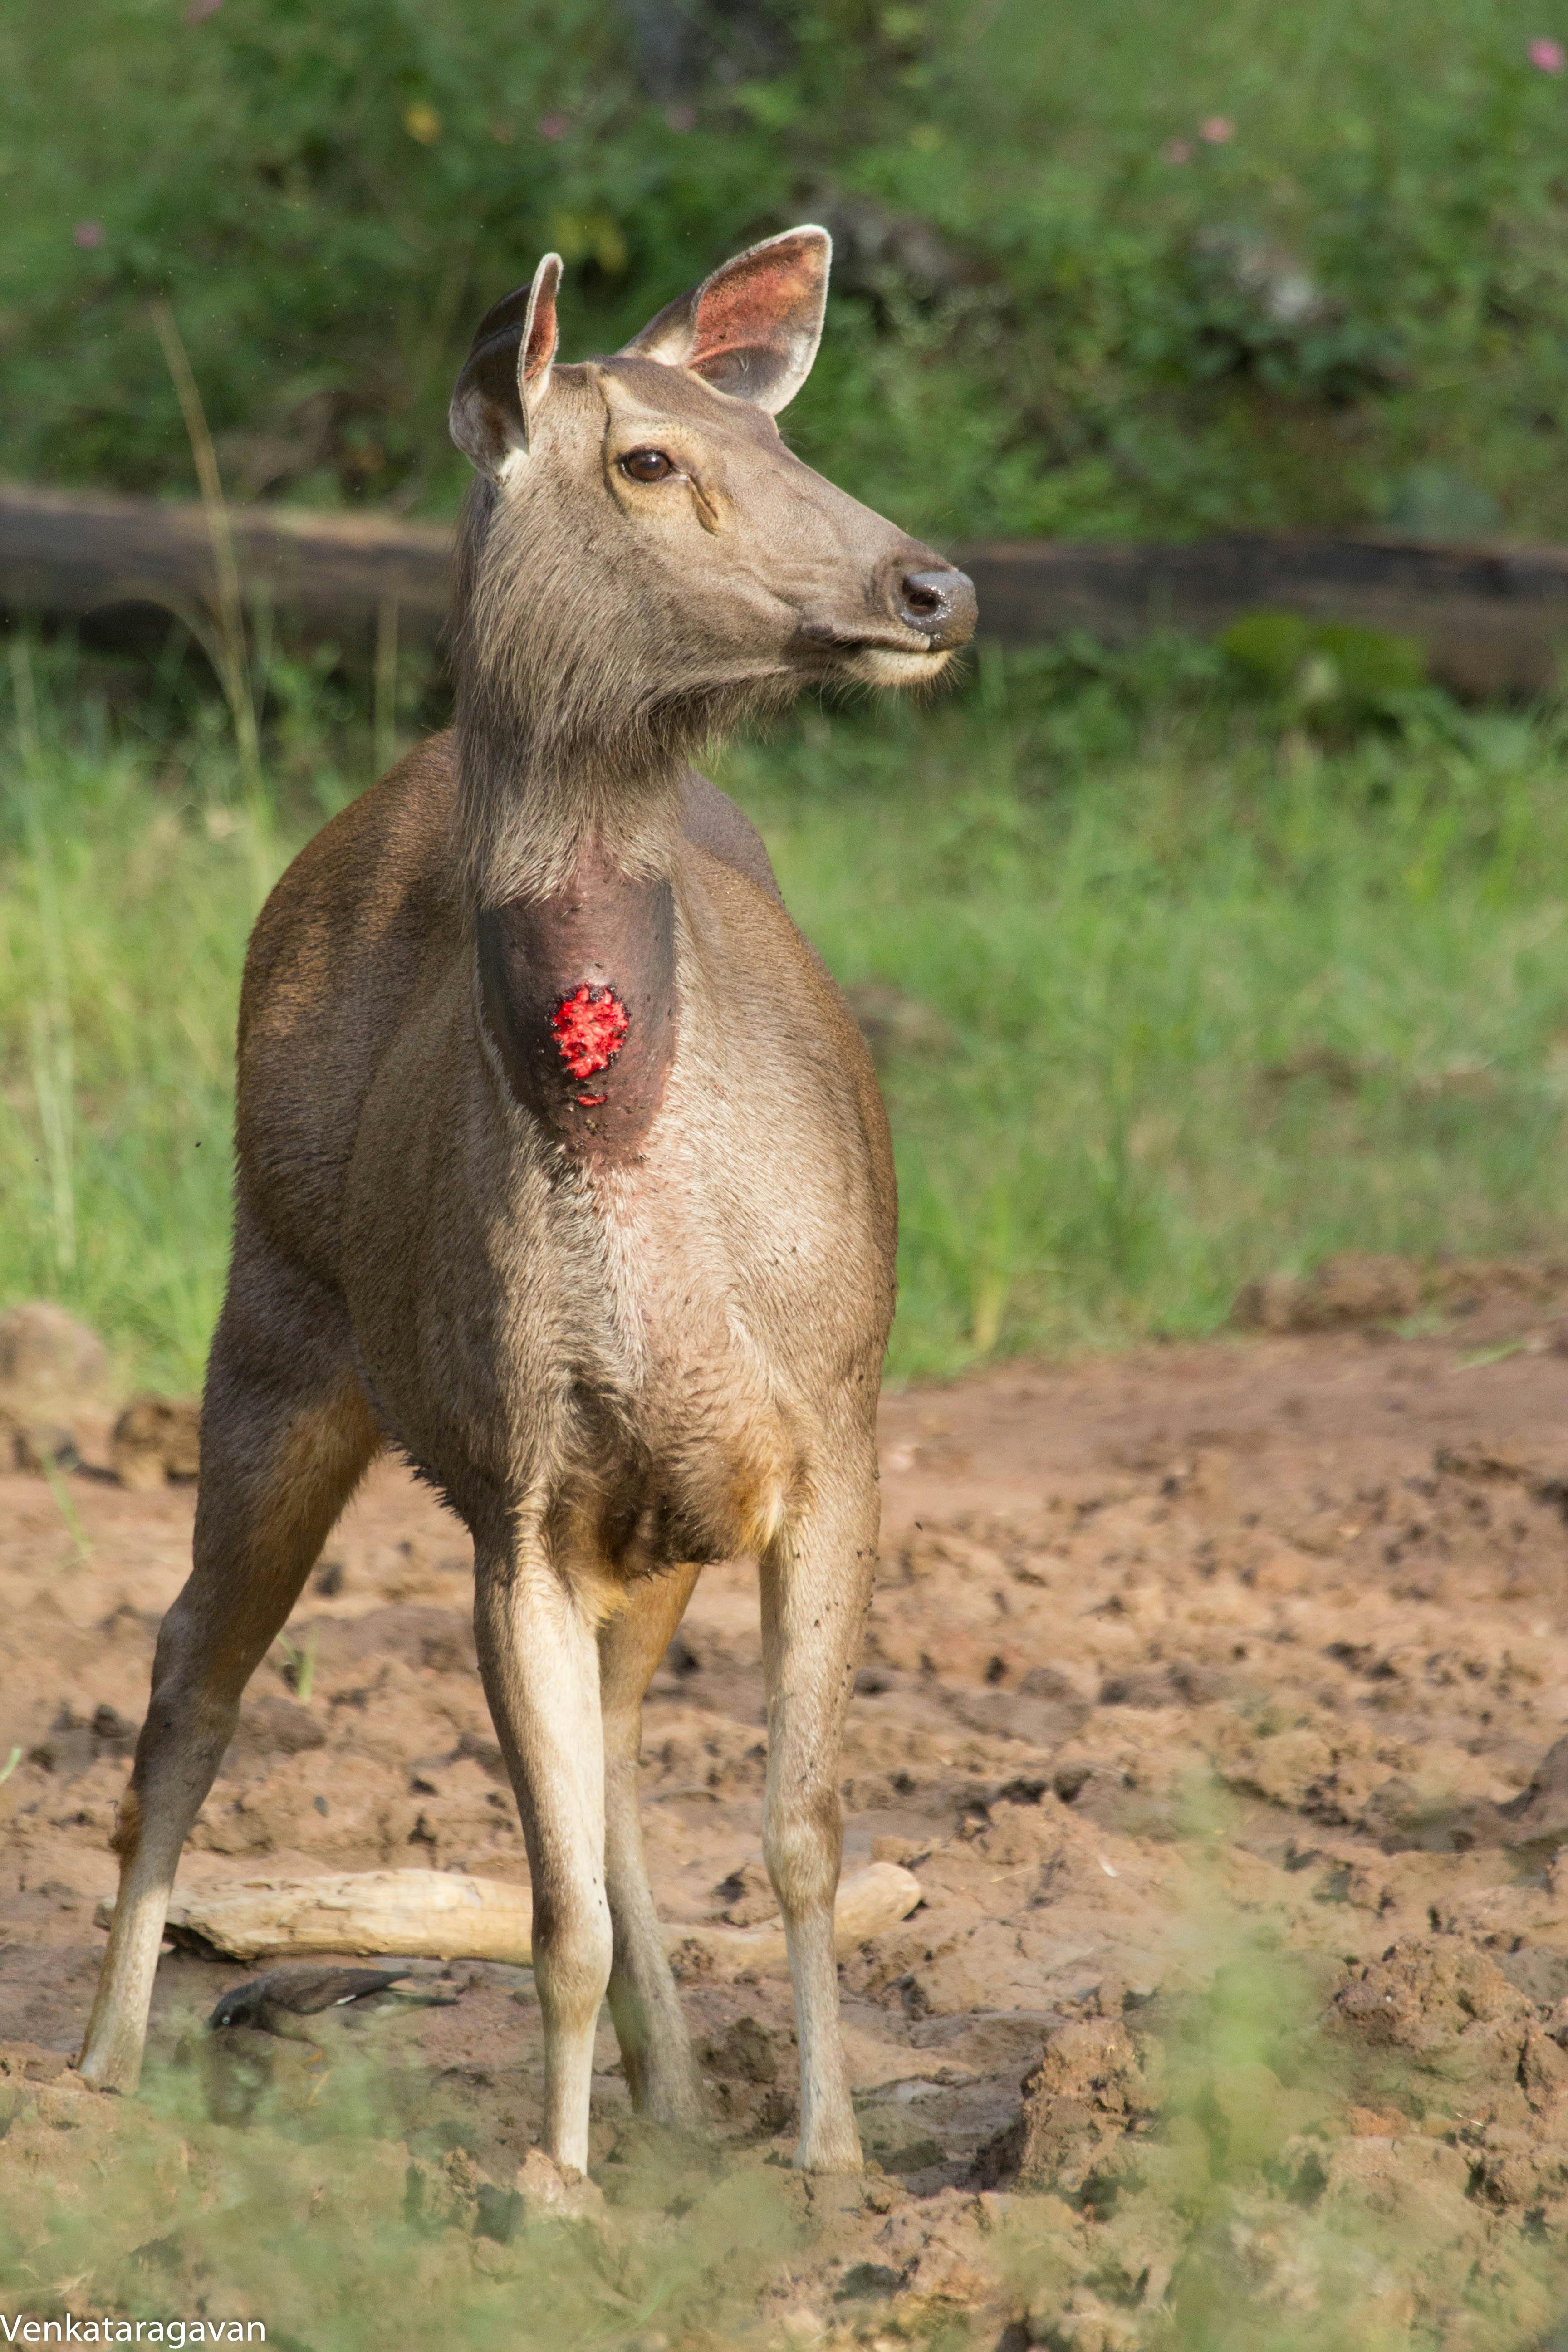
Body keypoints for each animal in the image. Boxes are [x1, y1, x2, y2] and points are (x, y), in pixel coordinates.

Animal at [80, 229, 982, 2173]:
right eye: (645, 457)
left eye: (776, 431)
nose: (931, 584)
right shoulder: (517, 1487)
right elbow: (551, 1897)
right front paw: (551, 2181)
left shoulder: (834, 1419)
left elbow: (799, 1828)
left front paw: (828, 2152)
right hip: (274, 1303)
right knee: (196, 1655)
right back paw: (105, 2058)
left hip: (638, 1516)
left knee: (626, 1751)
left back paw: (680, 2097)